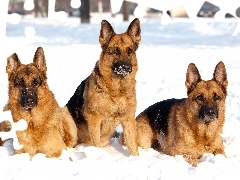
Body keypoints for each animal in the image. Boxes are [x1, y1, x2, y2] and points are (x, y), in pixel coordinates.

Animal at [65, 18, 141, 156]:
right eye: (115, 51)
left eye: (130, 51)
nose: (127, 67)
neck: (117, 91)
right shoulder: (94, 118)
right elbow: (96, 143)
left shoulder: (128, 120)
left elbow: (133, 146)